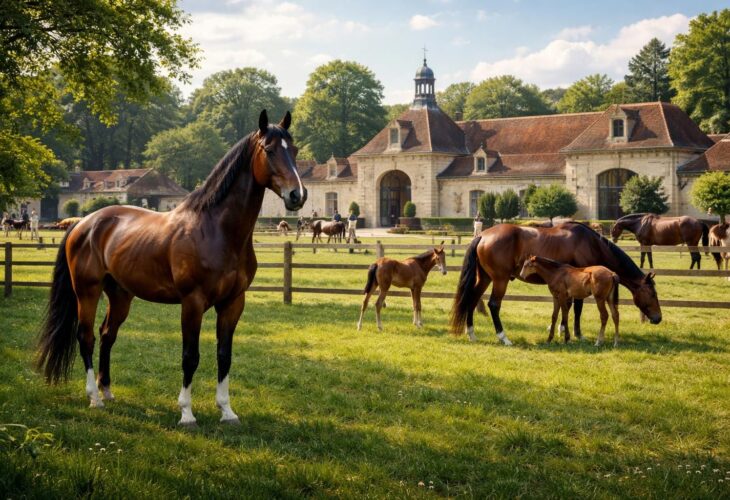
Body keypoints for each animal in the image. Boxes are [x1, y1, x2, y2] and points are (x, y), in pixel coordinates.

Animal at [36, 110, 307, 426]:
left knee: (106, 335)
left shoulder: (233, 303)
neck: (216, 230)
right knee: (86, 337)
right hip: (86, 292)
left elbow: (224, 355)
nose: (297, 195)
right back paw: (94, 398)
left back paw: (108, 391)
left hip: (120, 296)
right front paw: (186, 413)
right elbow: (190, 356)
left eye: (294, 150)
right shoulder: (192, 302)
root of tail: (83, 222)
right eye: (270, 149)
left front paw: (227, 411)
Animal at [449, 222, 661, 345]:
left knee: (472, 299)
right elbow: (577, 308)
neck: (590, 242)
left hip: (485, 278)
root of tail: (482, 236)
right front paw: (576, 334)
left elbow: (566, 306)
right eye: (652, 294)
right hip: (500, 280)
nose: (658, 318)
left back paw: (471, 334)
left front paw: (561, 330)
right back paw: (504, 338)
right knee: (494, 305)